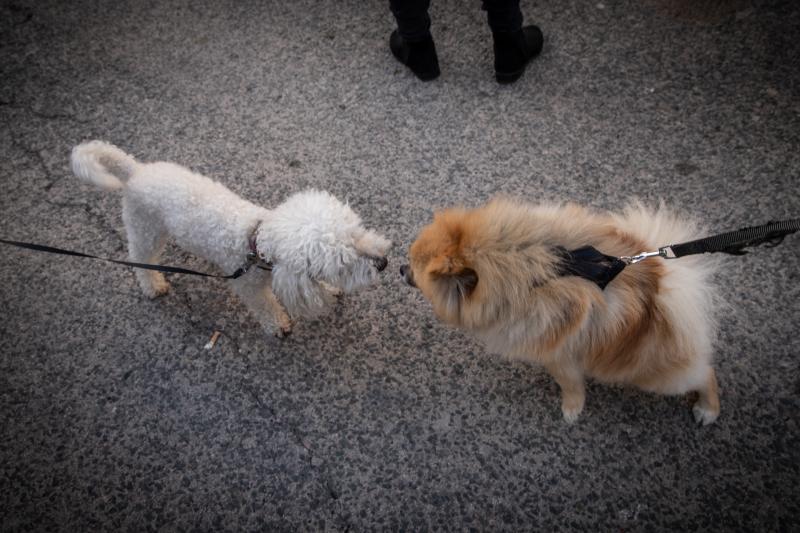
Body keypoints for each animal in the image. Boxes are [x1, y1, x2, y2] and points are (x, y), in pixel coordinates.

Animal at [72, 139, 390, 334]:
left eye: (358, 232)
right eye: (344, 262)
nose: (384, 263)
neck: (256, 243)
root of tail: (135, 171)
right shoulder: (248, 287)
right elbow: (265, 306)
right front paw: (279, 325)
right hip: (145, 229)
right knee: (140, 258)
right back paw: (153, 285)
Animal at [404, 197, 720, 426]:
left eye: (414, 271)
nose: (399, 268)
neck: (530, 267)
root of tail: (672, 286)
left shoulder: (558, 353)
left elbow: (570, 384)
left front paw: (571, 409)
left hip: (651, 373)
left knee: (704, 373)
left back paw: (708, 409)